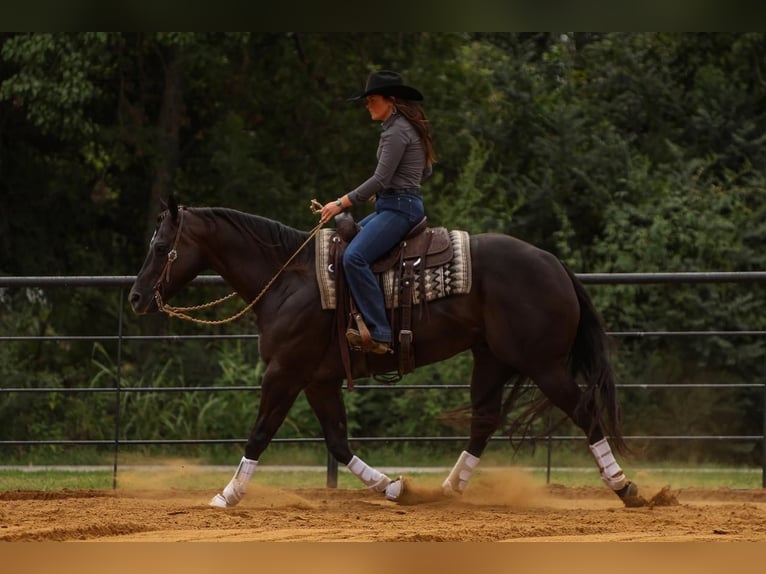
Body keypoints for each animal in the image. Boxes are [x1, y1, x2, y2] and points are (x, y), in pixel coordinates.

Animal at [129, 197, 640, 508]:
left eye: (161, 245)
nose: (135, 297)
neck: (291, 279)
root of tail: (555, 264)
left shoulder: (285, 372)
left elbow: (260, 432)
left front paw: (226, 495)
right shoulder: (318, 380)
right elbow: (338, 442)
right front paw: (392, 486)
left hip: (543, 365)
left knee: (585, 412)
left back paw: (625, 487)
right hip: (491, 359)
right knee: (484, 419)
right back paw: (447, 489)